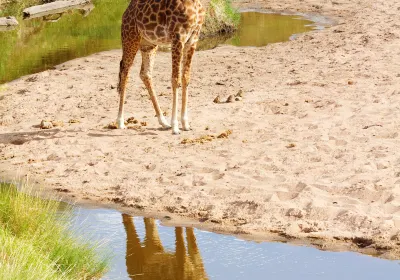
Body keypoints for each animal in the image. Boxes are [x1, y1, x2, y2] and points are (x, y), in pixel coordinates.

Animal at [115, 0, 203, 135]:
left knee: (145, 73)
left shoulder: (193, 38)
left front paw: (185, 124)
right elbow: (175, 79)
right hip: (130, 37)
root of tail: (126, 12)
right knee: (125, 70)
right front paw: (175, 127)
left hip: (148, 44)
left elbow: (185, 78)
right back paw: (120, 122)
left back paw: (163, 122)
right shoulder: (178, 37)